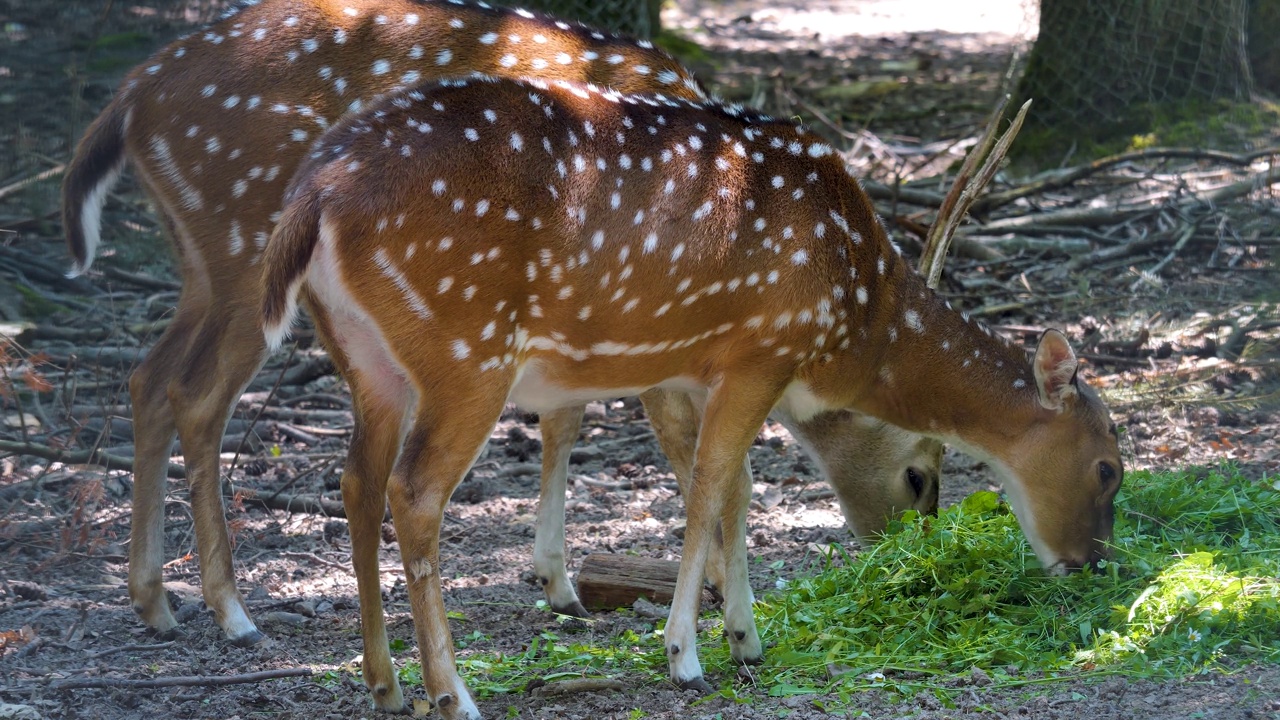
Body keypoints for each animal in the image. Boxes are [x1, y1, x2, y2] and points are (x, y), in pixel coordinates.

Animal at [60, 0, 942, 676]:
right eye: (920, 477)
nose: (902, 561)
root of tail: (129, 97)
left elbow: (570, 419)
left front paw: (560, 580)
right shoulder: (659, 321)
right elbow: (713, 467)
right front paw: (721, 617)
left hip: (204, 261)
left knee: (149, 378)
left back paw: (157, 600)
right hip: (243, 247)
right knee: (196, 393)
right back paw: (230, 609)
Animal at [257, 75, 1121, 712]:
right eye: (1110, 467)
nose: (1092, 562)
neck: (854, 315)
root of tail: (315, 192)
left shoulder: (696, 368)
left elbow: (736, 487)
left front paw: (746, 636)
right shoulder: (760, 348)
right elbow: (709, 486)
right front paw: (684, 654)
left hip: (366, 358)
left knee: (356, 480)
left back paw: (385, 684)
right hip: (466, 350)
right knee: (415, 491)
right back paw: (453, 694)